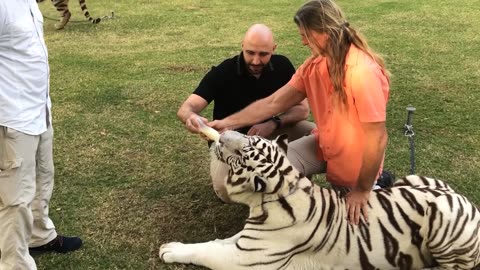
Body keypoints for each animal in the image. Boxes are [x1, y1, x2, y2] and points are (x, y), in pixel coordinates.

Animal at [158, 130, 480, 268]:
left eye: (241, 152)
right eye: (247, 139)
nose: (221, 133)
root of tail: (462, 198)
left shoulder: (247, 259)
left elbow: (208, 253)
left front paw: (169, 251)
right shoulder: (244, 240)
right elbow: (214, 242)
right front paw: (175, 246)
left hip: (444, 223)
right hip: (414, 181)